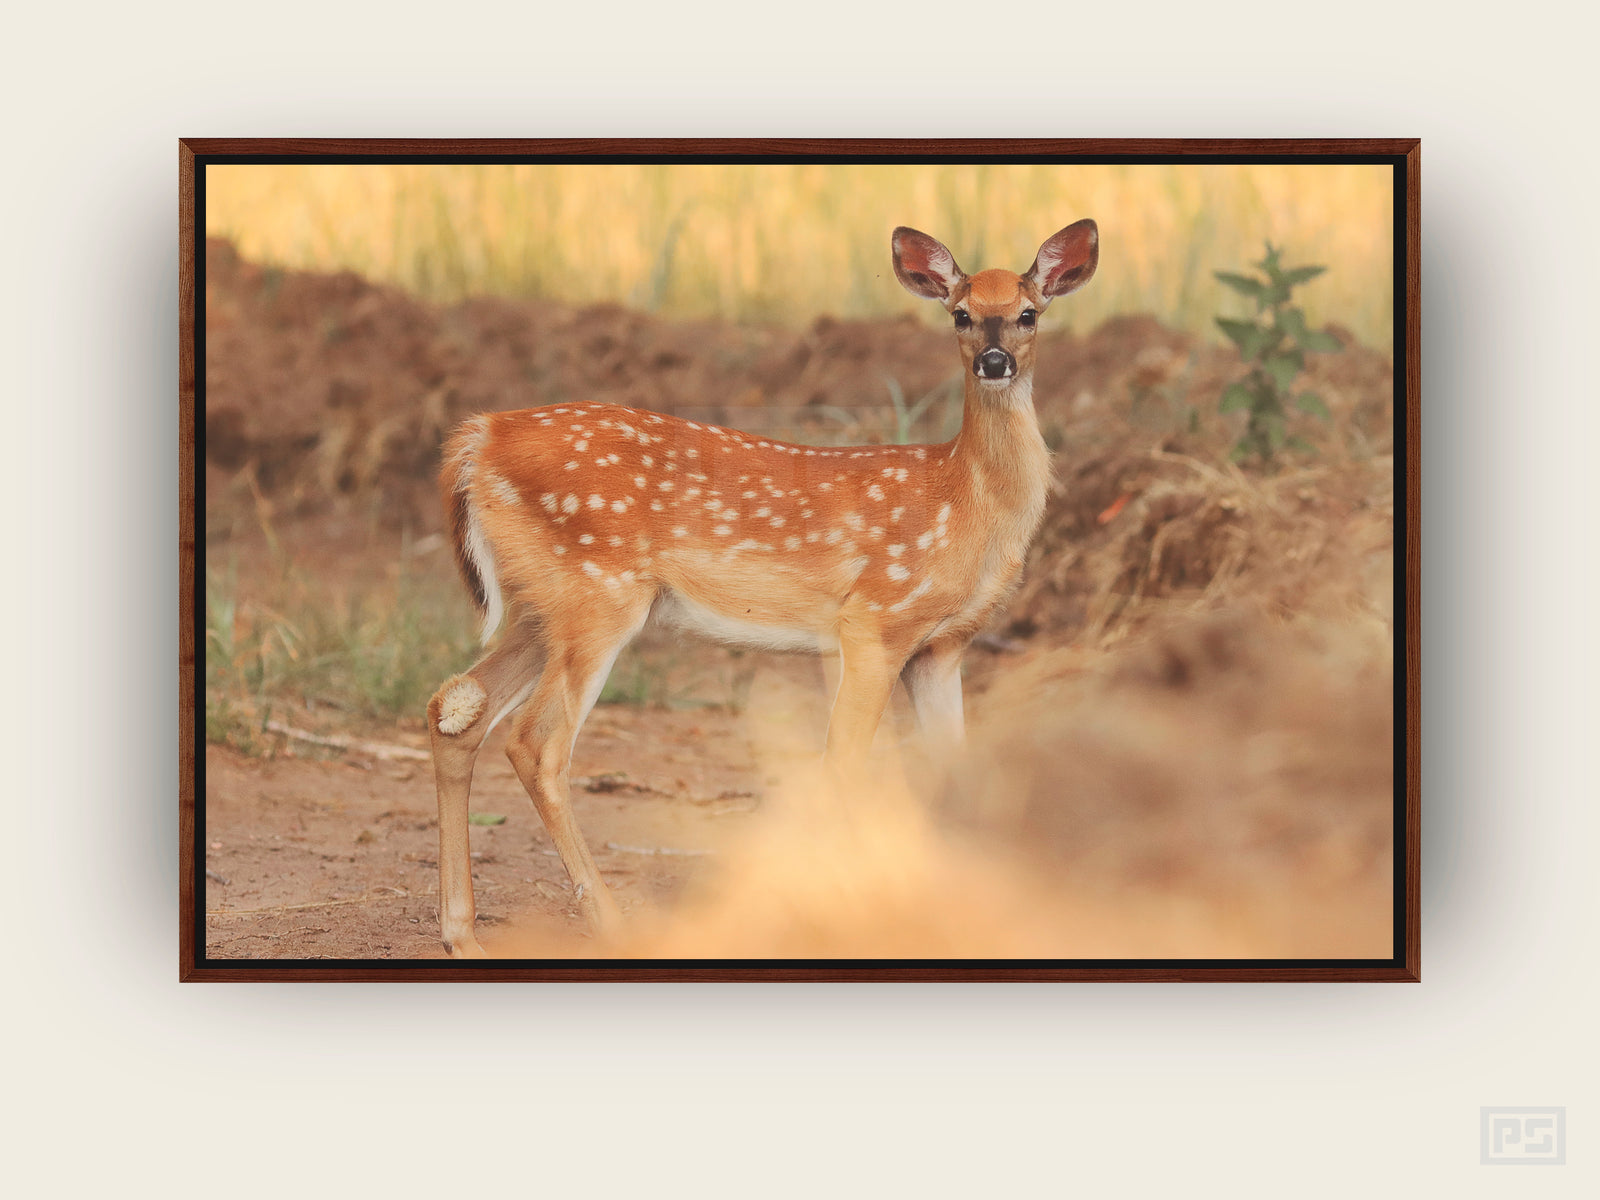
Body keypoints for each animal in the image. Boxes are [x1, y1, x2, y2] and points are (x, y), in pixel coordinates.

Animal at [426, 220, 1099, 956]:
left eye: (1029, 313)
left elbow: (954, 769)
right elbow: (844, 763)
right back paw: (614, 922)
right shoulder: (873, 619)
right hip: (597, 594)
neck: (965, 502)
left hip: (540, 606)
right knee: (536, 741)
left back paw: (462, 934)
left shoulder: (941, 647)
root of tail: (479, 438)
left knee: (456, 708)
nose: (995, 361)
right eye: (961, 314)